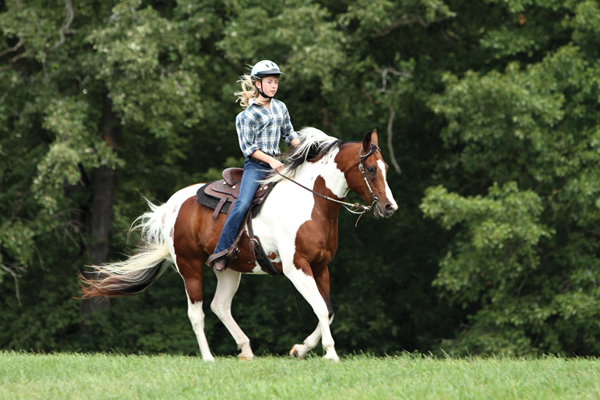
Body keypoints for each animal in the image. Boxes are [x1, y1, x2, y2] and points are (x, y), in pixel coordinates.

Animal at [79, 128, 398, 362]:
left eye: (384, 167)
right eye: (371, 169)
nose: (389, 207)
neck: (311, 203)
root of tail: (171, 207)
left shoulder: (321, 267)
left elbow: (328, 310)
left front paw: (300, 349)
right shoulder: (297, 268)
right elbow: (319, 307)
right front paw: (330, 354)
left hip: (229, 269)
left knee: (220, 305)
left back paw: (245, 349)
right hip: (189, 266)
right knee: (197, 312)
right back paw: (208, 358)